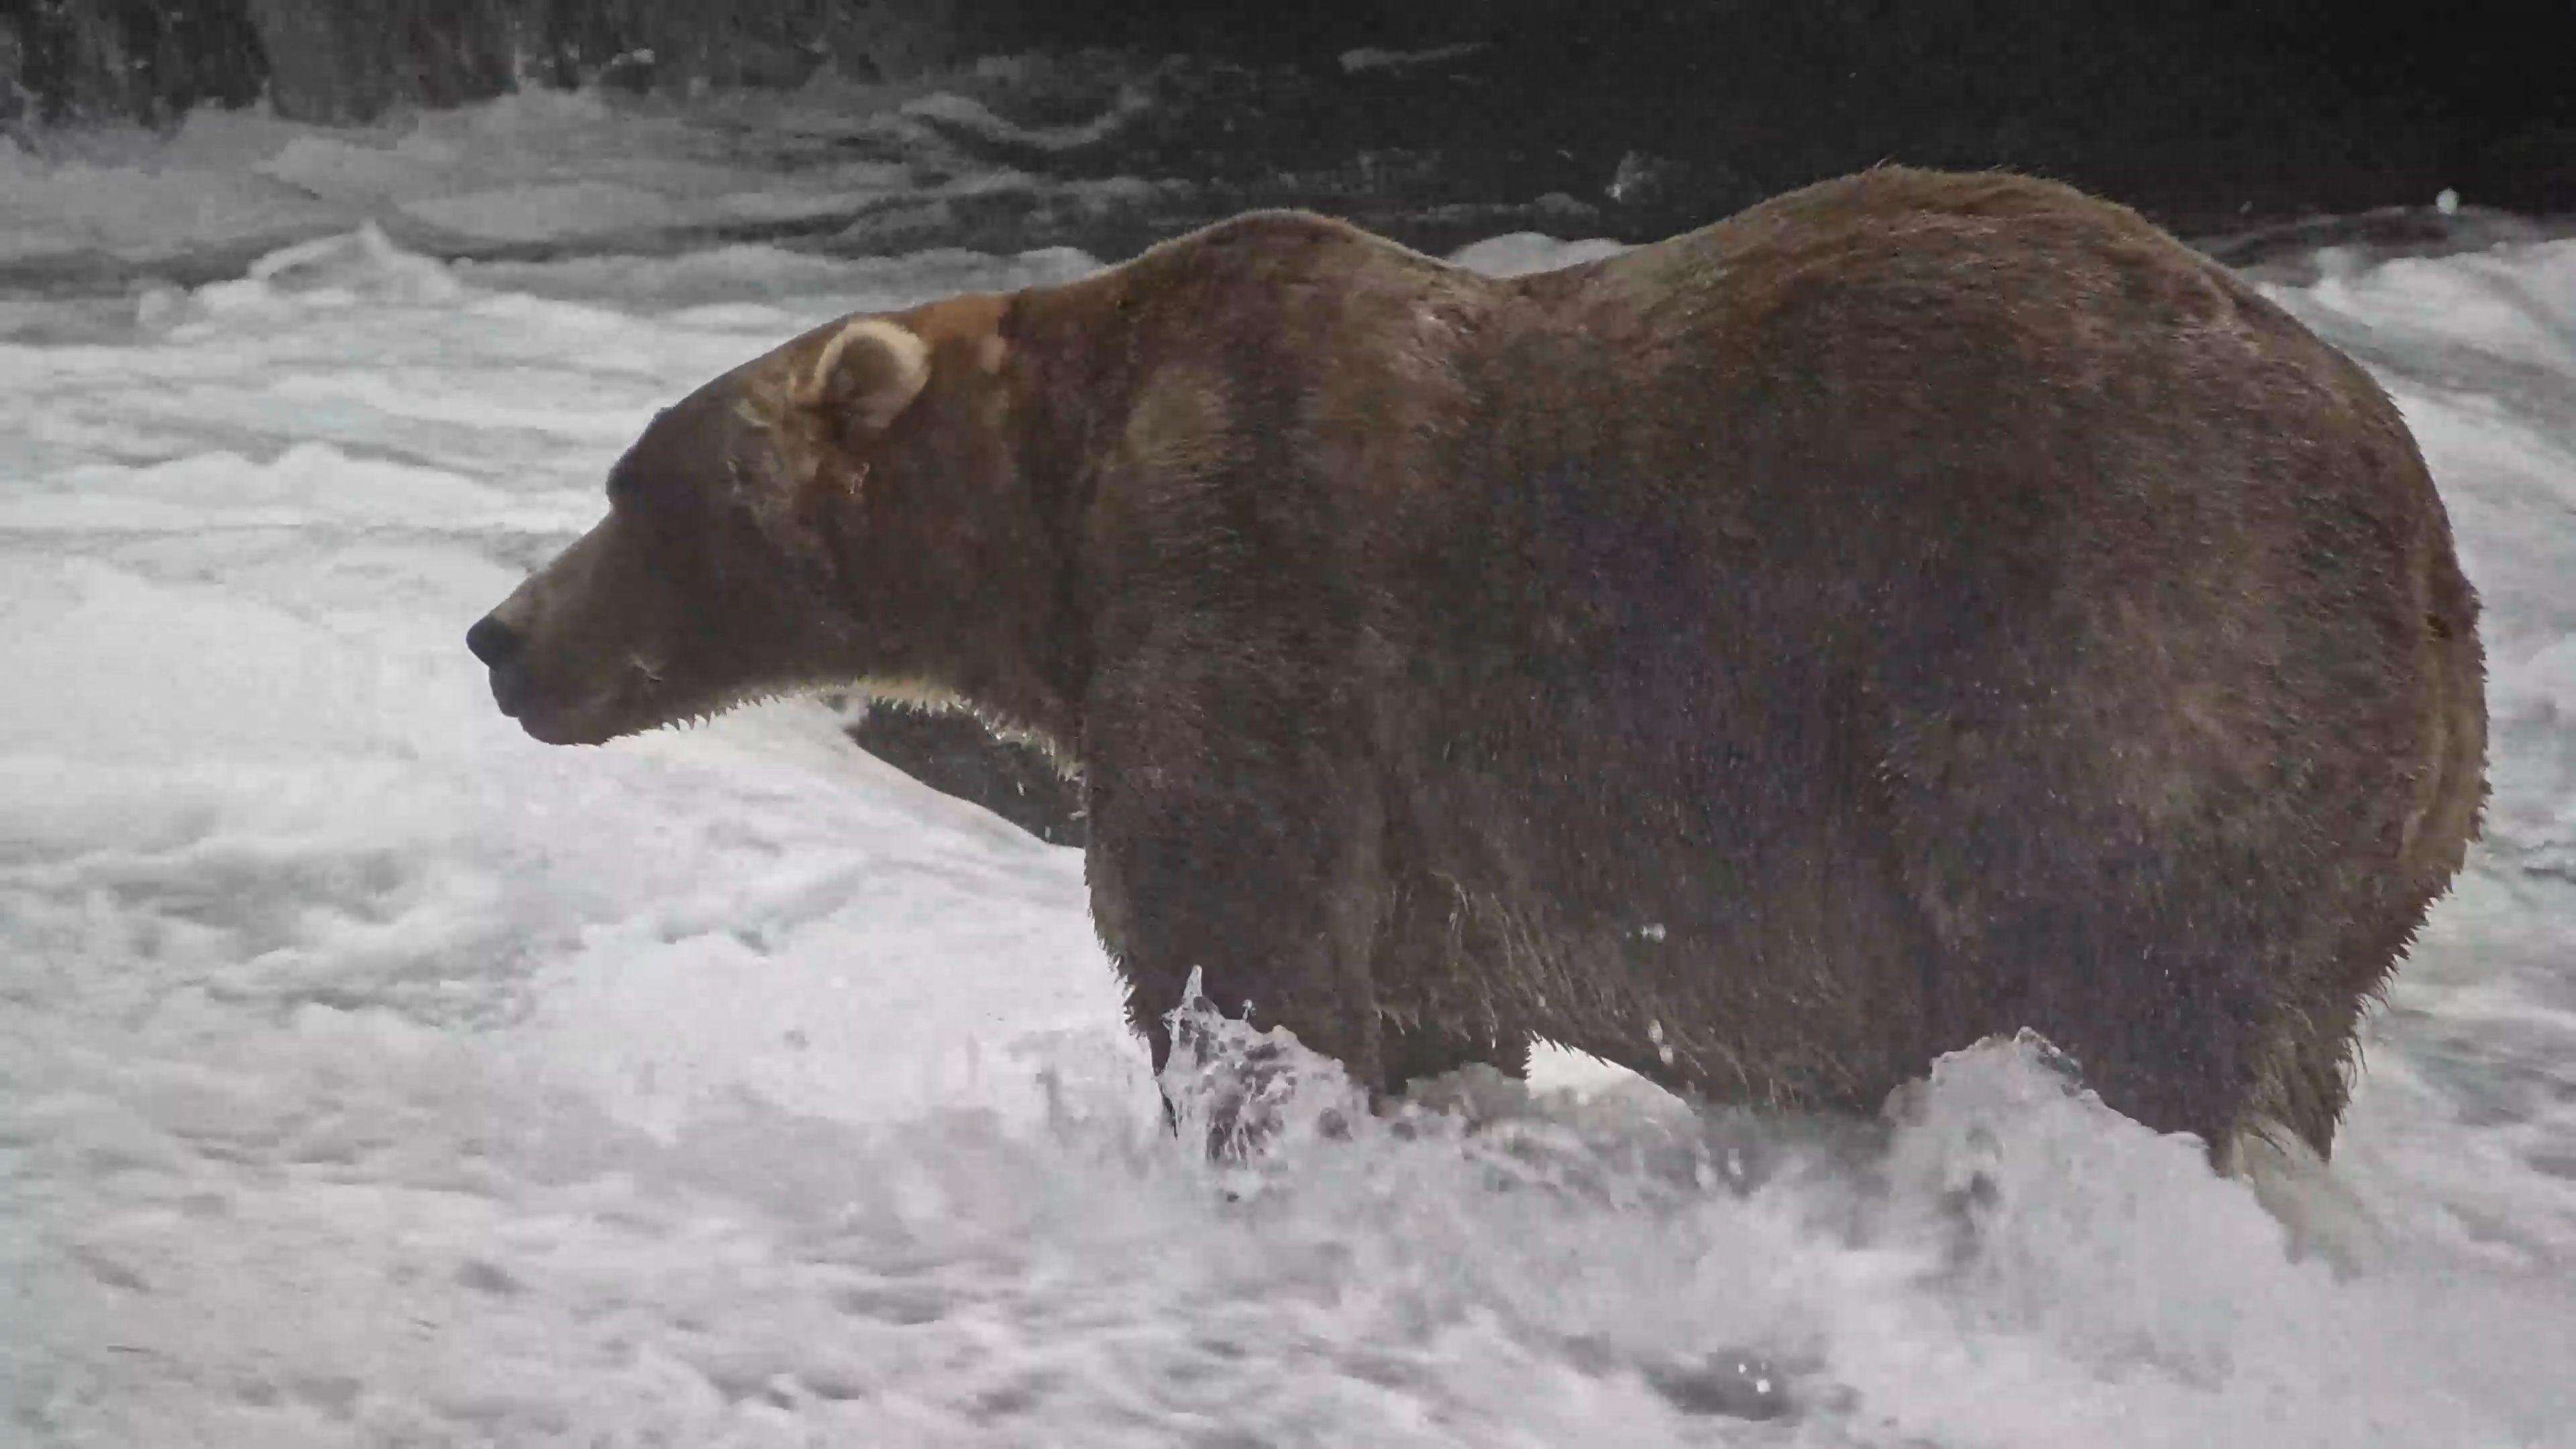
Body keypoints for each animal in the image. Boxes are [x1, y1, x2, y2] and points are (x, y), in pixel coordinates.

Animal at [466, 166, 2486, 1165]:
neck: (1054, 520)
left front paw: (1242, 1125)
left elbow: (1234, 943)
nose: (499, 636)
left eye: (635, 485)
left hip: (2114, 650)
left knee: (2114, 971)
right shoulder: (1431, 828)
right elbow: (1425, 999)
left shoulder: (1253, 592)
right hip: (2367, 840)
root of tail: (2429, 550)